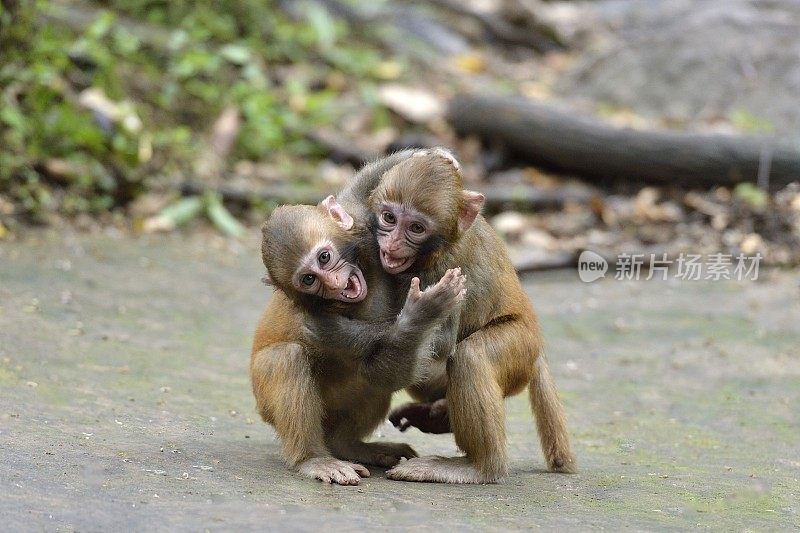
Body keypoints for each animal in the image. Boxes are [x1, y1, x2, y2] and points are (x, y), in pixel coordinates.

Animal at [252, 152, 468, 484]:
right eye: (309, 280)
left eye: (324, 257)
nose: (333, 283)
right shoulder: (313, 315)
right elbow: (385, 373)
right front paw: (423, 312)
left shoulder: (363, 229)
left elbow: (355, 198)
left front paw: (435, 155)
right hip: (266, 401)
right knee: (286, 358)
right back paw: (313, 458)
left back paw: (349, 445)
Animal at [334, 149, 580, 482]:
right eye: (389, 218)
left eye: (416, 228)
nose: (393, 244)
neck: (432, 253)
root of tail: (538, 347)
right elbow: (350, 208)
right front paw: (432, 154)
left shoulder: (449, 269)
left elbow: (441, 344)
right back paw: (437, 417)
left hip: (520, 346)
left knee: (470, 355)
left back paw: (480, 466)